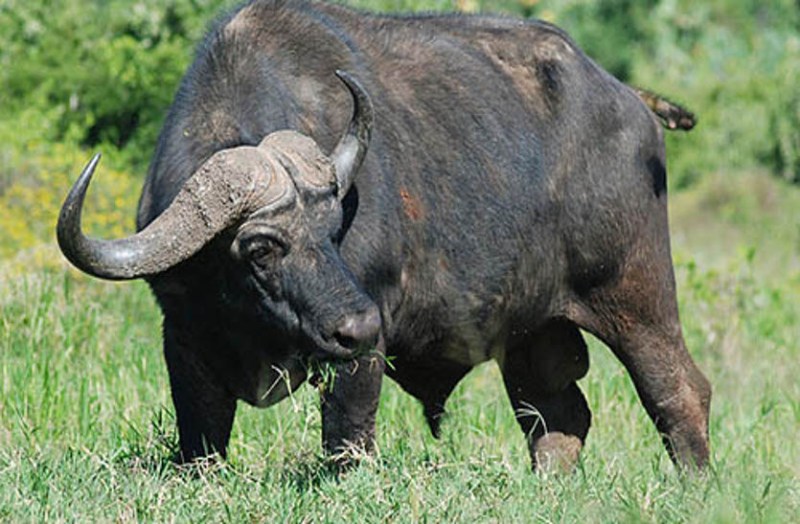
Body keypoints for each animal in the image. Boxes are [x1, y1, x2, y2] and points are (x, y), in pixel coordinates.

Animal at [57, 0, 710, 470]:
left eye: (332, 231)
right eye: (261, 247)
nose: (358, 323)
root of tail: (631, 99)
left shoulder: (361, 356)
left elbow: (347, 438)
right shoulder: (184, 340)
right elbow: (201, 439)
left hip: (637, 297)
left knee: (680, 393)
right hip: (534, 329)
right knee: (556, 415)